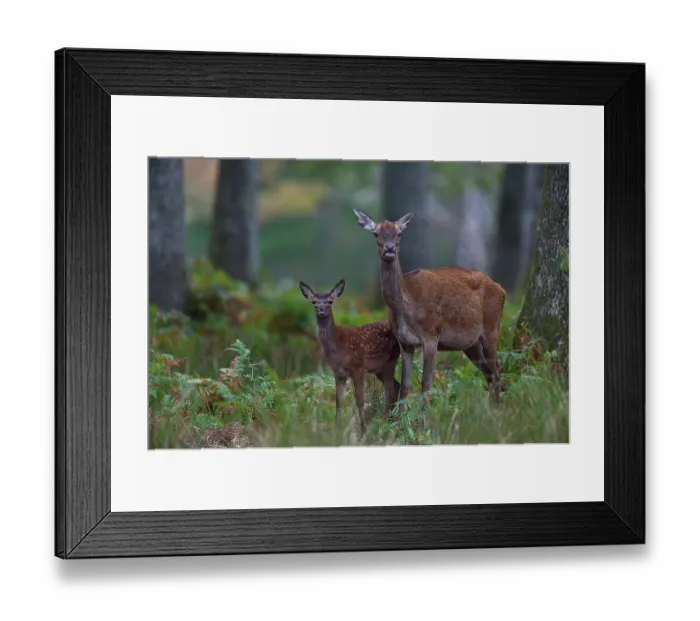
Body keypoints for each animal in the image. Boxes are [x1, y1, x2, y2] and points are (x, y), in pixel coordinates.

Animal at [299, 279, 402, 437]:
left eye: (330, 301)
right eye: (314, 301)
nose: (321, 310)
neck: (337, 345)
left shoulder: (358, 367)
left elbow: (360, 400)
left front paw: (363, 431)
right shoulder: (339, 372)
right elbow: (338, 401)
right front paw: (336, 431)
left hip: (391, 359)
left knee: (389, 389)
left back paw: (385, 423)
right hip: (379, 368)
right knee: (396, 386)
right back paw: (392, 420)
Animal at [353, 209, 507, 425]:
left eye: (399, 234)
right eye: (376, 234)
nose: (390, 249)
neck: (406, 305)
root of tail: (502, 290)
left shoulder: (431, 335)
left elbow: (426, 383)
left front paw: (424, 424)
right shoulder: (404, 342)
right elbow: (405, 385)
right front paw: (400, 424)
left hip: (492, 328)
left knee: (497, 371)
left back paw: (497, 415)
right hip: (471, 344)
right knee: (489, 374)